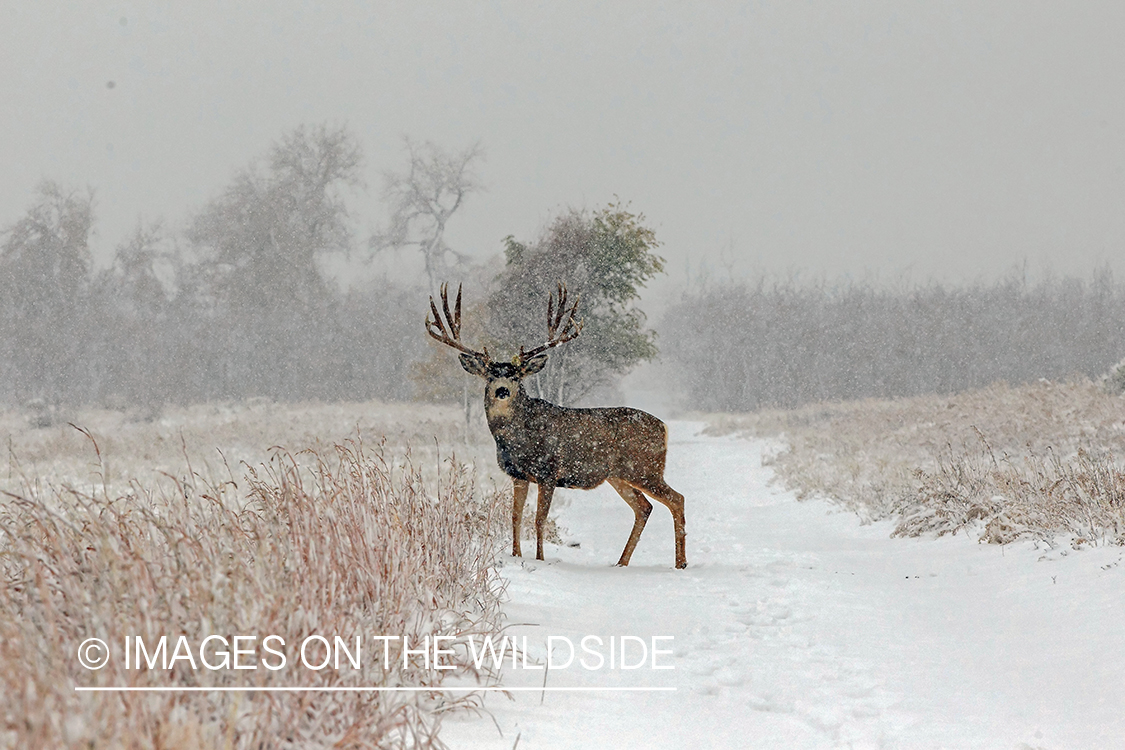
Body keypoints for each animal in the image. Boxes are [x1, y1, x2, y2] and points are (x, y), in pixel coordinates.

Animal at [423, 281, 684, 568]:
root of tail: (664, 427)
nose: (502, 390)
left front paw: (539, 559)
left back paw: (680, 563)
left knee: (676, 499)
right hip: (619, 475)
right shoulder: (517, 475)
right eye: (490, 375)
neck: (516, 441)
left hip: (645, 468)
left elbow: (540, 519)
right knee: (644, 507)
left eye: (516, 376)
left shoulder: (548, 471)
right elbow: (515, 517)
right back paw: (621, 563)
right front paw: (516, 555)